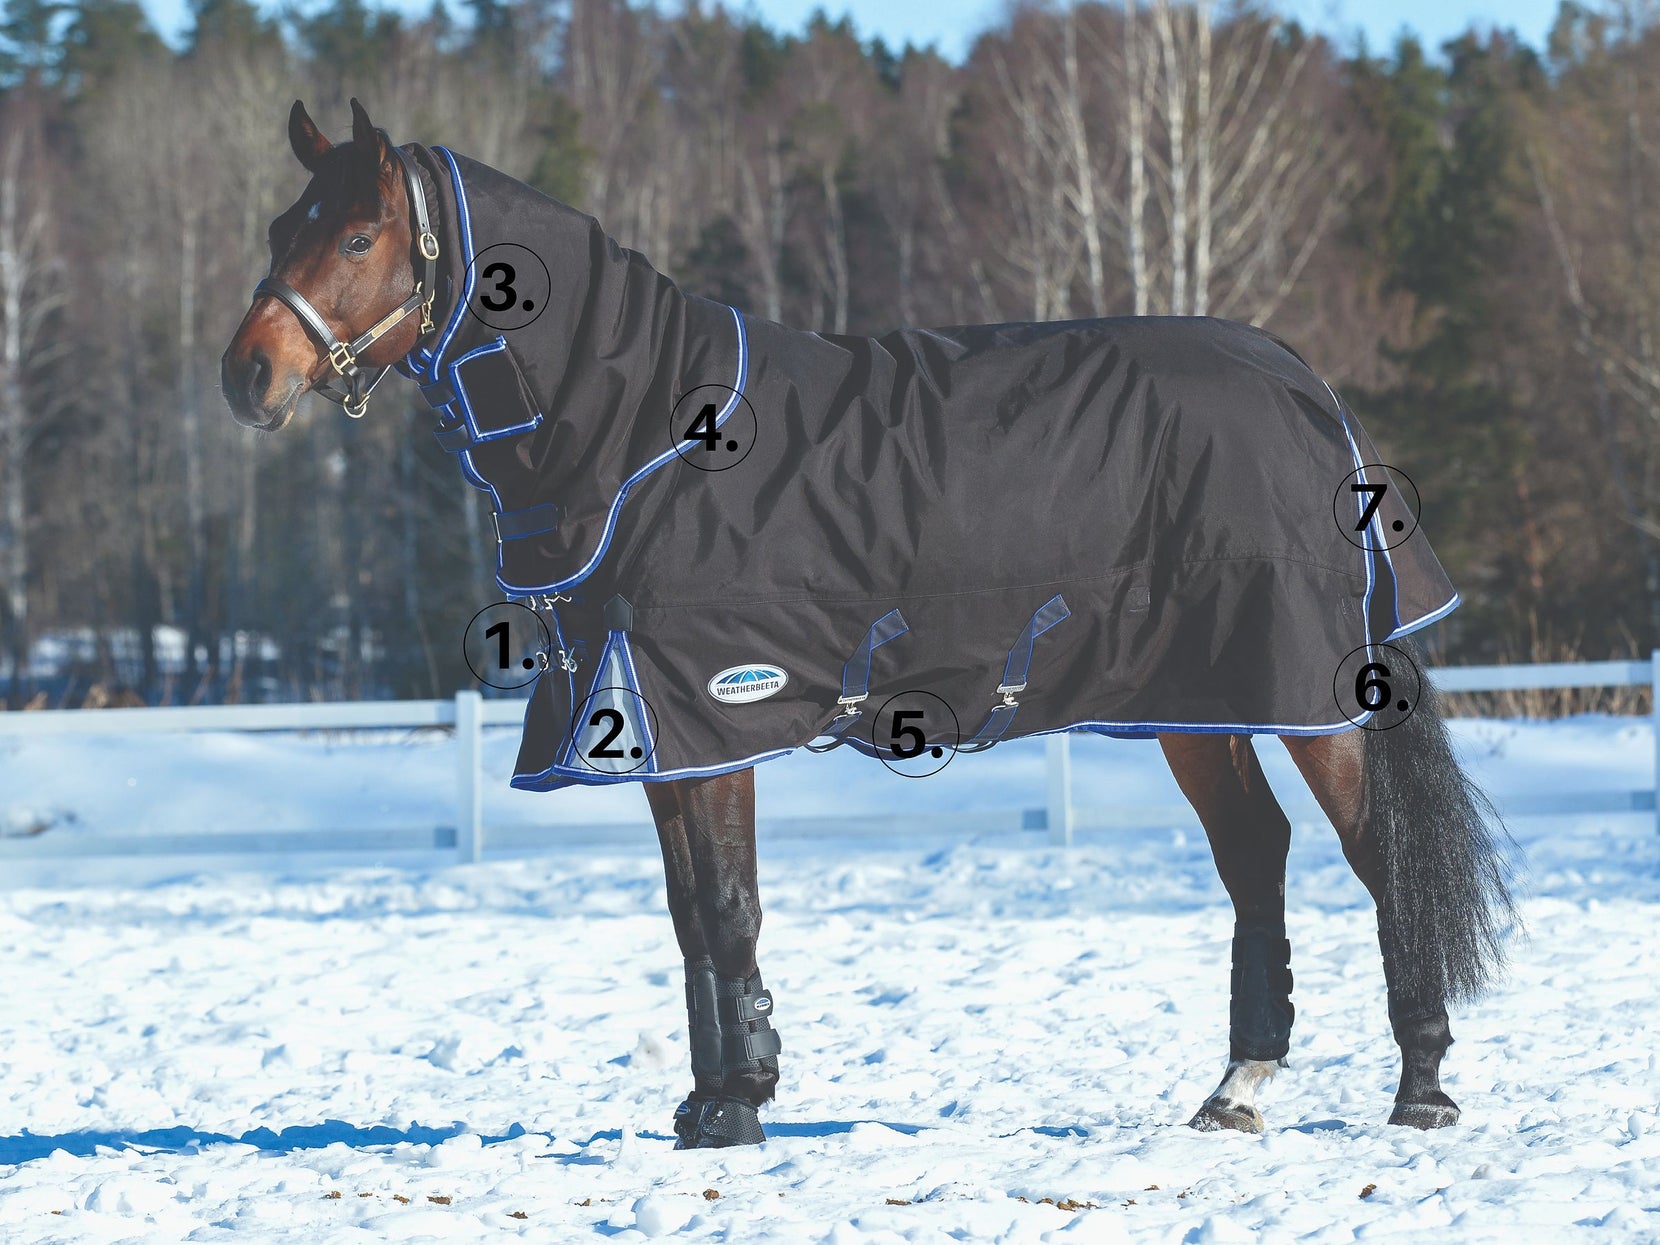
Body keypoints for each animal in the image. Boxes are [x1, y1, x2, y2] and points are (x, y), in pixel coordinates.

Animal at [222, 100, 1512, 1150]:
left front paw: (735, 1108)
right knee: (1256, 858)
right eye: (279, 227)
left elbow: (728, 906)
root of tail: (1305, 388)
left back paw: (1421, 1091)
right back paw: (1237, 1091)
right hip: (1195, 704)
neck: (646, 438)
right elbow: (693, 920)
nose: (248, 378)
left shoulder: (710, 712)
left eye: (354, 238)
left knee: (1376, 857)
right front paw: (713, 1097)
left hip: (1303, 693)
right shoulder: (652, 730)